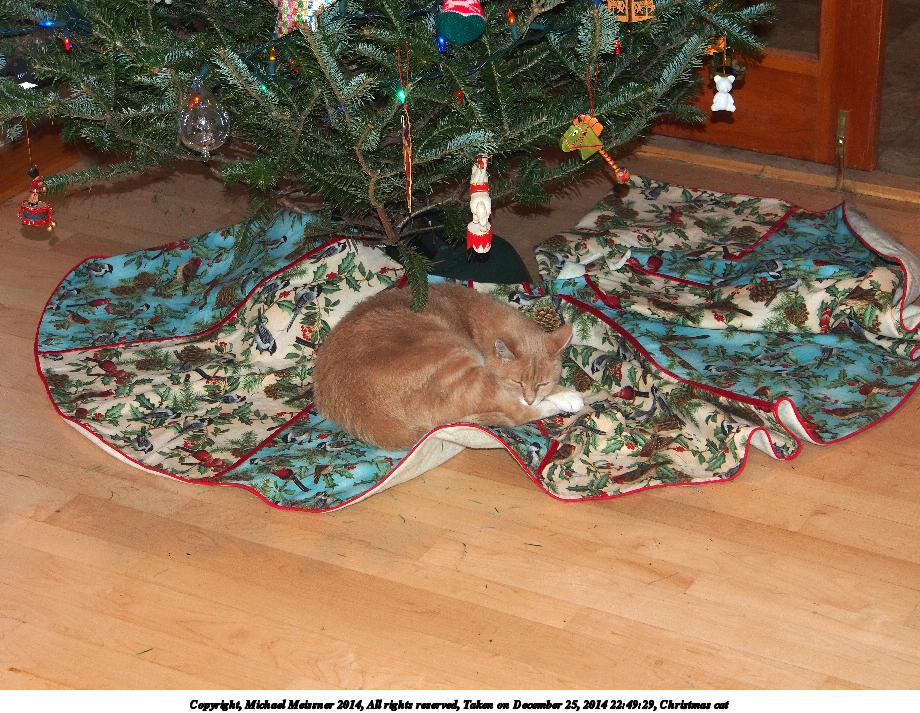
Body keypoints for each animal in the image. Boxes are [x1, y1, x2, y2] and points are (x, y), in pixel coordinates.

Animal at [313, 282, 585, 450]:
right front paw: (568, 395)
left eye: (542, 383)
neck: (471, 319)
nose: (530, 397)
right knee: (516, 413)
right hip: (462, 368)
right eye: (517, 381)